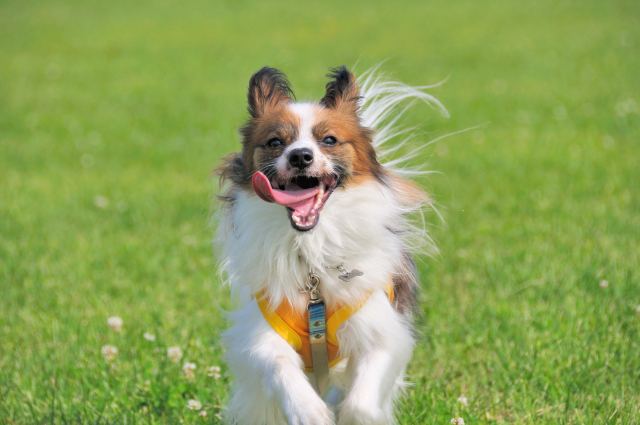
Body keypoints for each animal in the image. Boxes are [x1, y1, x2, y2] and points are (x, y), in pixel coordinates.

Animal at [215, 65, 447, 425]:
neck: (311, 249)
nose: (300, 156)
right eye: (275, 142)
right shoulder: (261, 334)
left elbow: (360, 404)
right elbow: (280, 367)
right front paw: (309, 411)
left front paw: (347, 413)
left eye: (329, 140)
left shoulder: (380, 332)